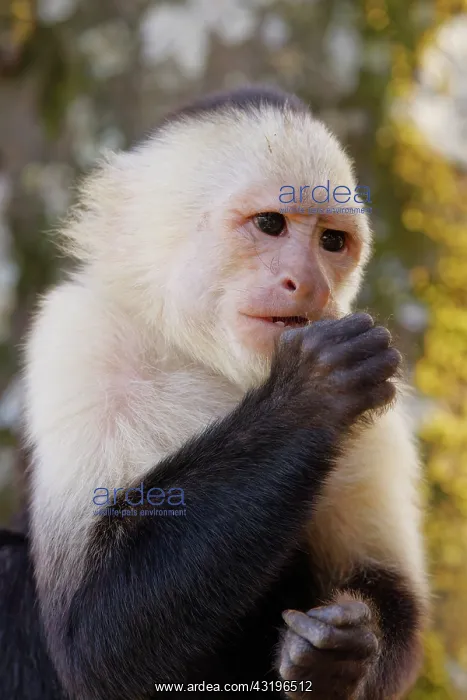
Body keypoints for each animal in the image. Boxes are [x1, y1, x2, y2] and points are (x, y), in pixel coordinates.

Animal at [0, 85, 428, 699]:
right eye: (270, 224)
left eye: (332, 241)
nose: (309, 284)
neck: (209, 359)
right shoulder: (79, 333)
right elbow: (91, 636)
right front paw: (313, 391)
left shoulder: (383, 412)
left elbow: (389, 592)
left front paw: (338, 654)